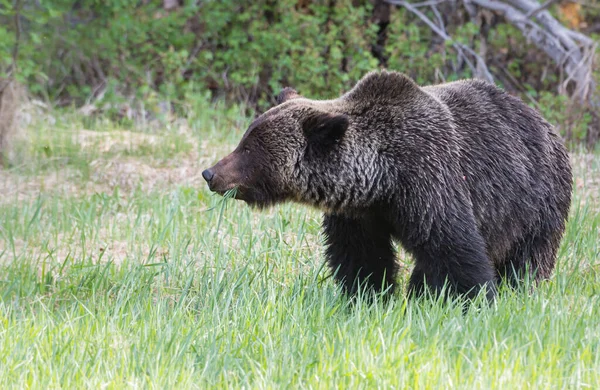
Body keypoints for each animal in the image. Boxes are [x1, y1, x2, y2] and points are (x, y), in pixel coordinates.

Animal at [202, 71, 572, 302]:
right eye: (244, 139)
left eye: (248, 148)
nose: (210, 173)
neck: (384, 179)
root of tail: (544, 122)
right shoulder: (358, 213)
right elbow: (362, 257)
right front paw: (369, 296)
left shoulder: (431, 184)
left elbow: (455, 250)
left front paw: (473, 299)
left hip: (535, 202)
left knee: (527, 260)